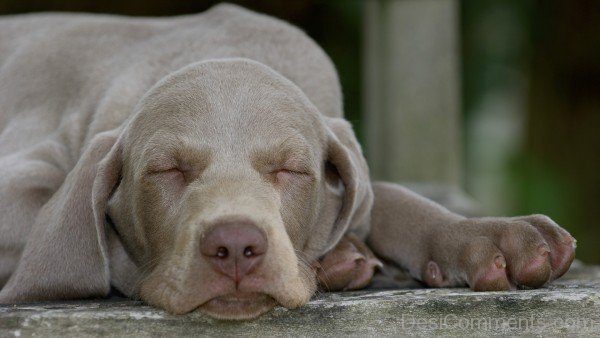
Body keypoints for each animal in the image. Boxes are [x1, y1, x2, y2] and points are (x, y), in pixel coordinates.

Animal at [0, 3, 576, 318]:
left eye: (290, 170)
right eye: (168, 170)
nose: (234, 246)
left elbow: (386, 195)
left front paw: (491, 236)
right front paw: (342, 252)